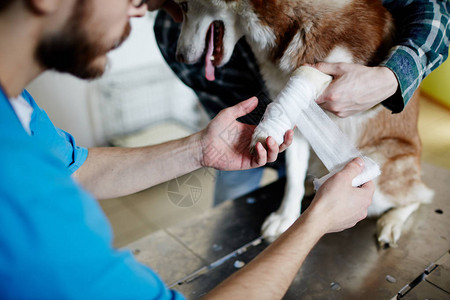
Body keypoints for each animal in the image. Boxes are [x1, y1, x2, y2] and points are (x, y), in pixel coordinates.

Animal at [172, 0, 432, 247]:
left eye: (184, 6)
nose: (180, 57)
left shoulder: (337, 72)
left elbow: (306, 73)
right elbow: (293, 176)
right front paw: (286, 216)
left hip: (380, 174)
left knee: (420, 196)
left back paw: (392, 221)